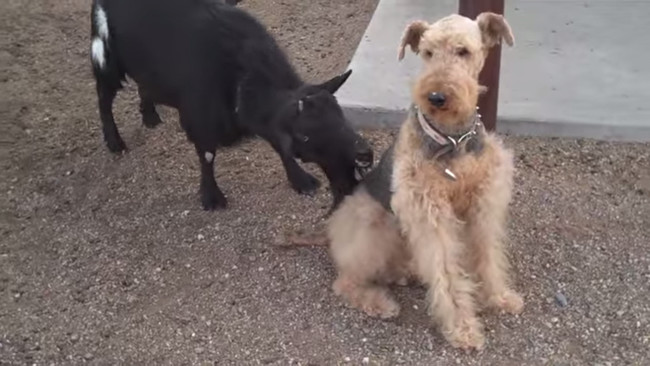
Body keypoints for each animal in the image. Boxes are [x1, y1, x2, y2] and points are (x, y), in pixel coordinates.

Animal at [89, 0, 372, 209]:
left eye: (342, 116)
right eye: (304, 136)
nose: (364, 155)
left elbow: (278, 143)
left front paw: (301, 181)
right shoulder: (199, 118)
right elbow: (207, 155)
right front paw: (211, 197)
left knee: (144, 84)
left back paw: (150, 116)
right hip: (105, 56)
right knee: (104, 97)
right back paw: (114, 141)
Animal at [326, 11, 520, 350]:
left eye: (463, 51)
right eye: (427, 52)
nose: (436, 97)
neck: (453, 137)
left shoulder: (484, 200)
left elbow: (487, 254)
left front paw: (499, 297)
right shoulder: (429, 210)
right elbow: (447, 272)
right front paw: (462, 328)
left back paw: (409, 273)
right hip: (375, 227)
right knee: (346, 281)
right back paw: (380, 302)